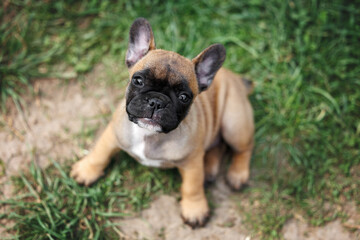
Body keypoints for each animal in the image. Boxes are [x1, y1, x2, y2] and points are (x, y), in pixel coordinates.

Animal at [71, 17, 253, 228]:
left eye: (184, 97)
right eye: (138, 80)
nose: (157, 101)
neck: (148, 134)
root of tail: (237, 79)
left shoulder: (191, 163)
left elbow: (192, 186)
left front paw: (195, 209)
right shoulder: (113, 134)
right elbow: (99, 153)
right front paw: (86, 171)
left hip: (234, 123)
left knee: (243, 148)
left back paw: (237, 174)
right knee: (219, 145)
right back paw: (209, 169)